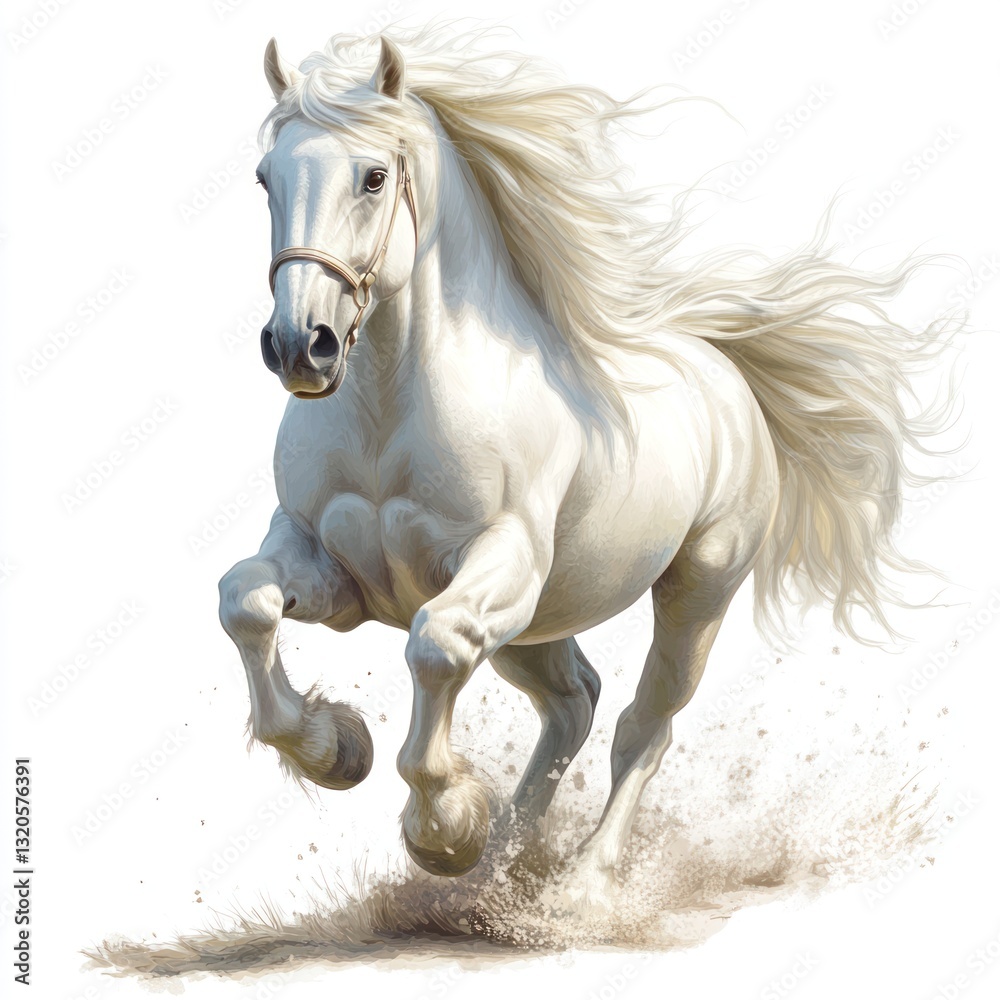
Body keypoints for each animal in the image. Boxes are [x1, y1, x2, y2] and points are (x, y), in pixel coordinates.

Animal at [218, 27, 952, 904]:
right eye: (265, 178)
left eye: (373, 176)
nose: (302, 346)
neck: (389, 415)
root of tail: (724, 372)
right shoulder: (329, 566)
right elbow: (245, 600)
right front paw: (338, 750)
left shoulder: (496, 564)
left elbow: (435, 645)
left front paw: (443, 828)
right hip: (540, 622)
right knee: (574, 701)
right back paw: (499, 866)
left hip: (693, 595)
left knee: (644, 724)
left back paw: (581, 883)